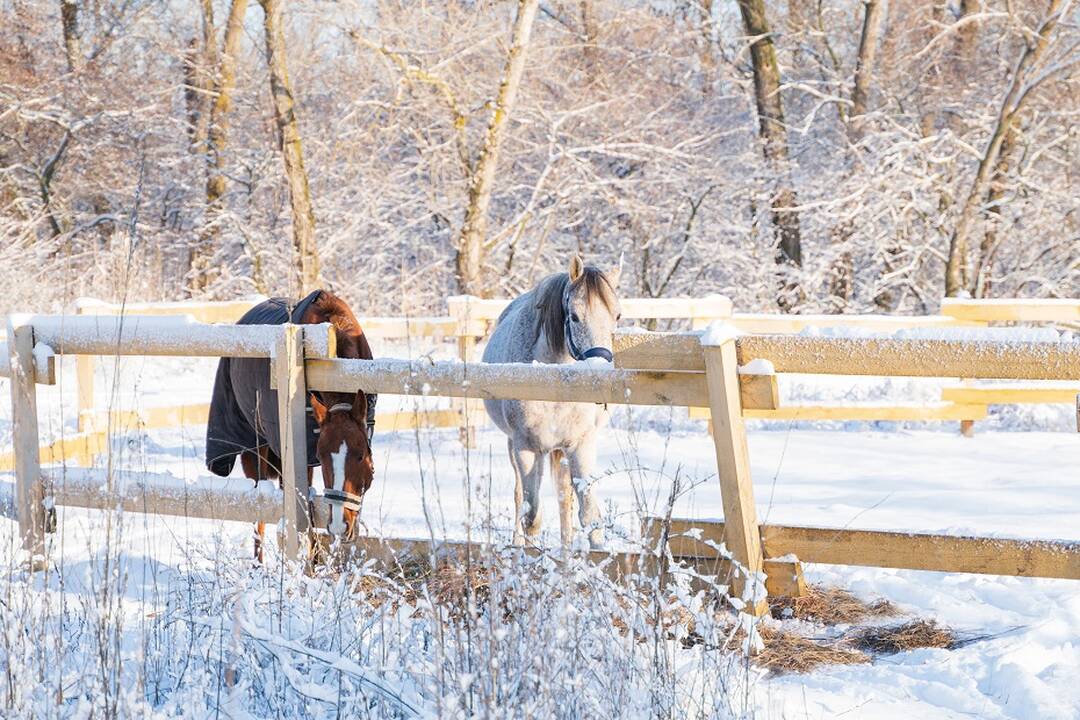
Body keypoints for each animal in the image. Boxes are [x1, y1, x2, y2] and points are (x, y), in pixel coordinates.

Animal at [205, 289, 375, 561]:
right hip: (256, 451)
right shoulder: (301, 458)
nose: (340, 526)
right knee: (260, 514)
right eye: (322, 456)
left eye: (361, 456)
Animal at [483, 255, 626, 548]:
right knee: (519, 497)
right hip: (517, 447)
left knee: (564, 501)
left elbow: (589, 515)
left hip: (561, 452)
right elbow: (532, 518)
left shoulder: (581, 446)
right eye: (574, 316)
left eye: (617, 315)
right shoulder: (526, 448)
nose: (599, 371)